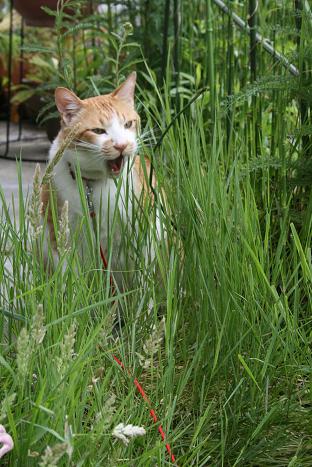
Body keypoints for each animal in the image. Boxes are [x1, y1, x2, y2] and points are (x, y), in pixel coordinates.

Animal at [40, 72, 158, 288]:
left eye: (128, 124)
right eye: (97, 131)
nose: (121, 145)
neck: (94, 184)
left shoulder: (142, 234)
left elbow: (141, 276)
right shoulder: (61, 235)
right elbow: (71, 279)